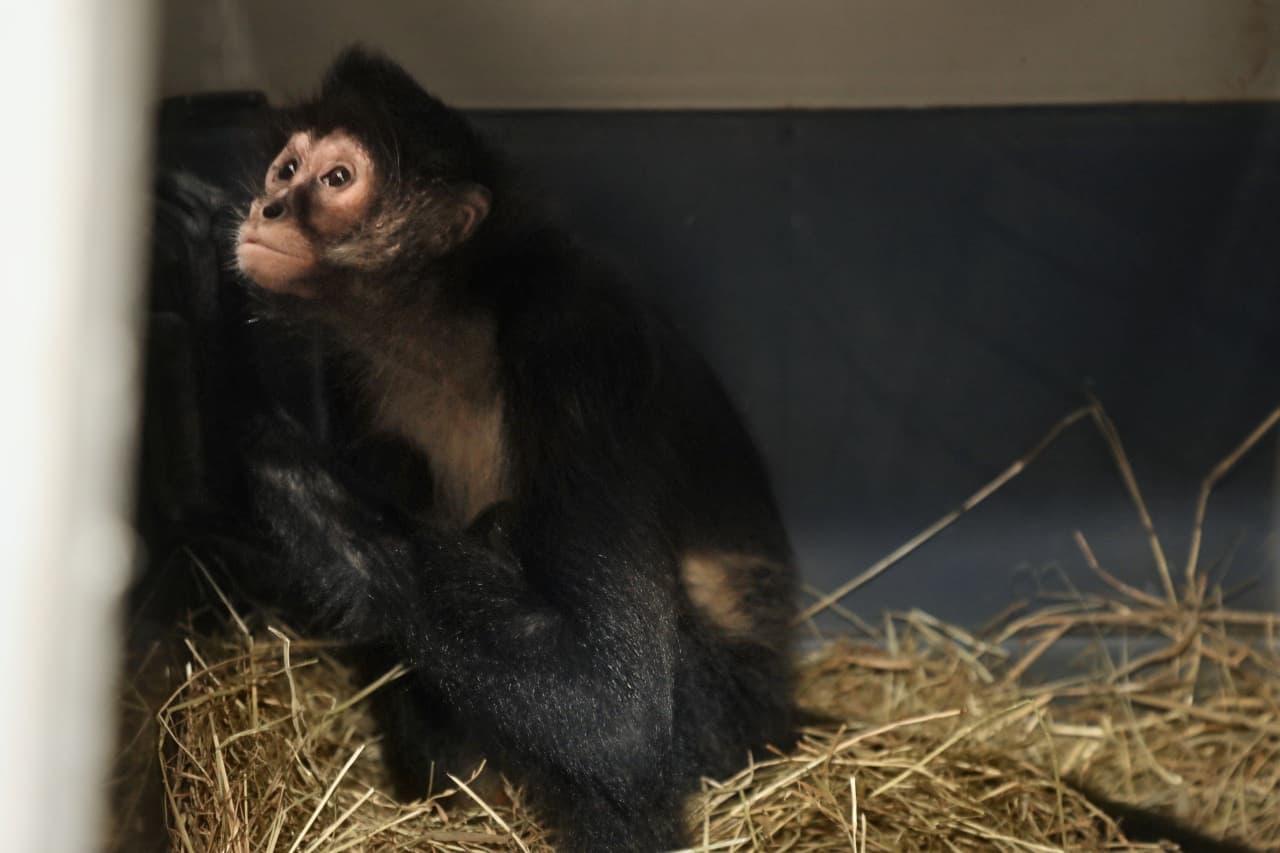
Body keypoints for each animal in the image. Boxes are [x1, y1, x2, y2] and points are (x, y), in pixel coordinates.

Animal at [233, 47, 796, 852]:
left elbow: (614, 711)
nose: (269, 207)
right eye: (286, 169)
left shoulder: (577, 337)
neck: (444, 330)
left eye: (336, 179)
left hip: (729, 721)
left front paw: (273, 462)